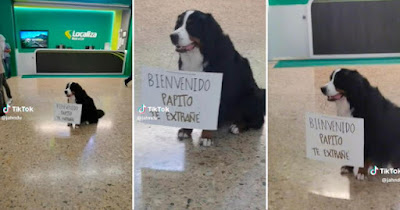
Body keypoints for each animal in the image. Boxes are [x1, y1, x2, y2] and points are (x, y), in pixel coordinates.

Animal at [170, 10, 266, 146]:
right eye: (178, 24)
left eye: (191, 25)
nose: (172, 36)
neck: (199, 55)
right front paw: (186, 130)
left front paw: (206, 137)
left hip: (251, 96)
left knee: (258, 121)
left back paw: (237, 126)